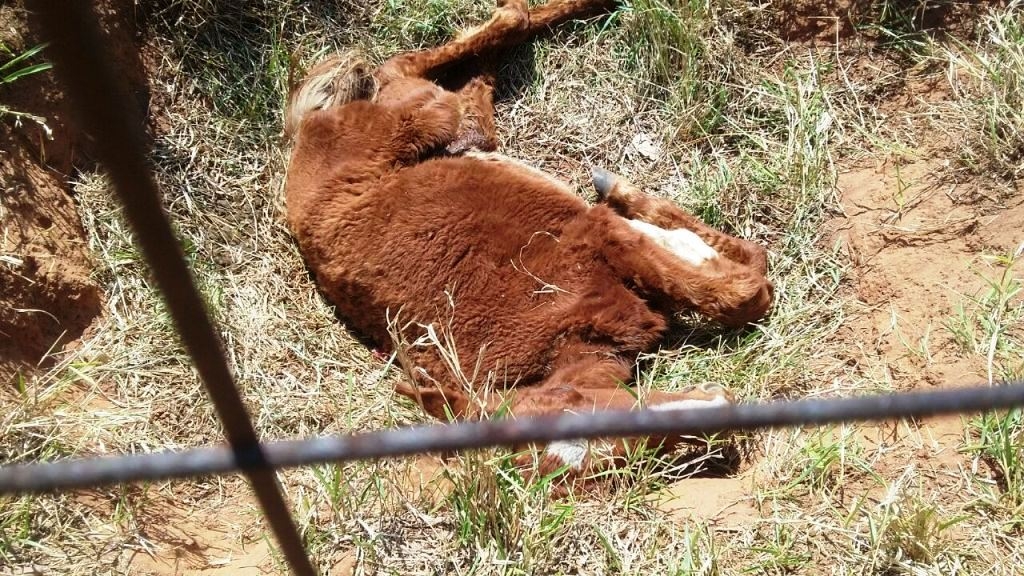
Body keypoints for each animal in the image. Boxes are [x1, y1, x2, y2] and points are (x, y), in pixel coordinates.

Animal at [284, 0, 770, 479]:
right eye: (615, 464)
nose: (717, 409)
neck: (562, 335)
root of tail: (307, 132)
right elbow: (743, 285)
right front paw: (686, 241)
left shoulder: (598, 236)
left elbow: (743, 292)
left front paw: (647, 211)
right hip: (446, 123)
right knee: (466, 92)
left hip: (424, 113)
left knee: (420, 59)